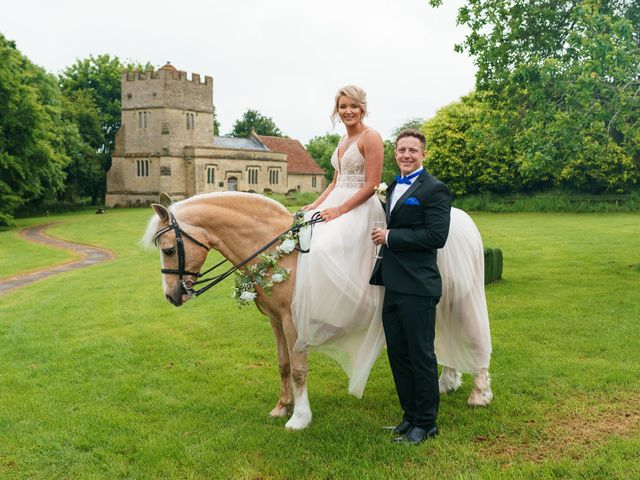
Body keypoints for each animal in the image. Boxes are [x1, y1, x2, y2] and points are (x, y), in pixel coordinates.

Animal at [142, 191, 496, 432]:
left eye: (169, 249)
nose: (172, 296)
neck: (280, 250)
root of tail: (459, 219)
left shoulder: (293, 322)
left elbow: (299, 369)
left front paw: (300, 417)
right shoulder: (275, 321)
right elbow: (284, 364)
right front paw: (282, 407)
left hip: (461, 300)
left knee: (476, 339)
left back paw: (479, 393)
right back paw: (447, 382)